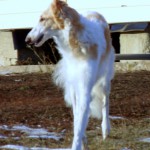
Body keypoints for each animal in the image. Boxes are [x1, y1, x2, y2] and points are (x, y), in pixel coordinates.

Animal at [25, 0, 115, 149]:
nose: (27, 40)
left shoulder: (85, 87)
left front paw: (78, 143)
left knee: (105, 102)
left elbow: (80, 122)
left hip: (104, 79)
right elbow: (77, 118)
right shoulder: (73, 86)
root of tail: (95, 12)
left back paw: (105, 129)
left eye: (42, 19)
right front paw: (83, 140)